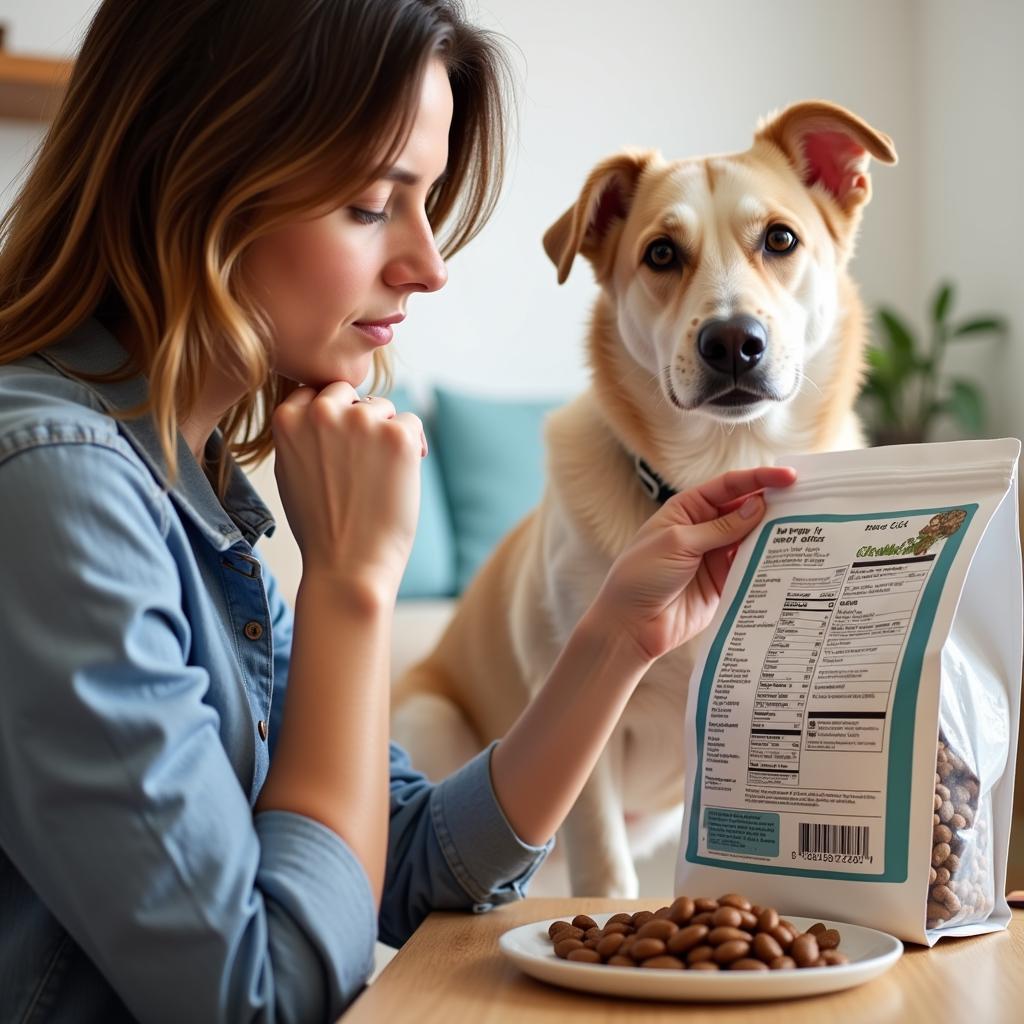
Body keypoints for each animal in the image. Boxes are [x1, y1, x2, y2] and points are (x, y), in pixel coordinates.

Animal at [391, 99, 897, 892]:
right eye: (661, 254)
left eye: (781, 239)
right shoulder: (579, 706)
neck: (723, 462)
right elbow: (604, 869)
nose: (732, 341)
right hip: (429, 721)